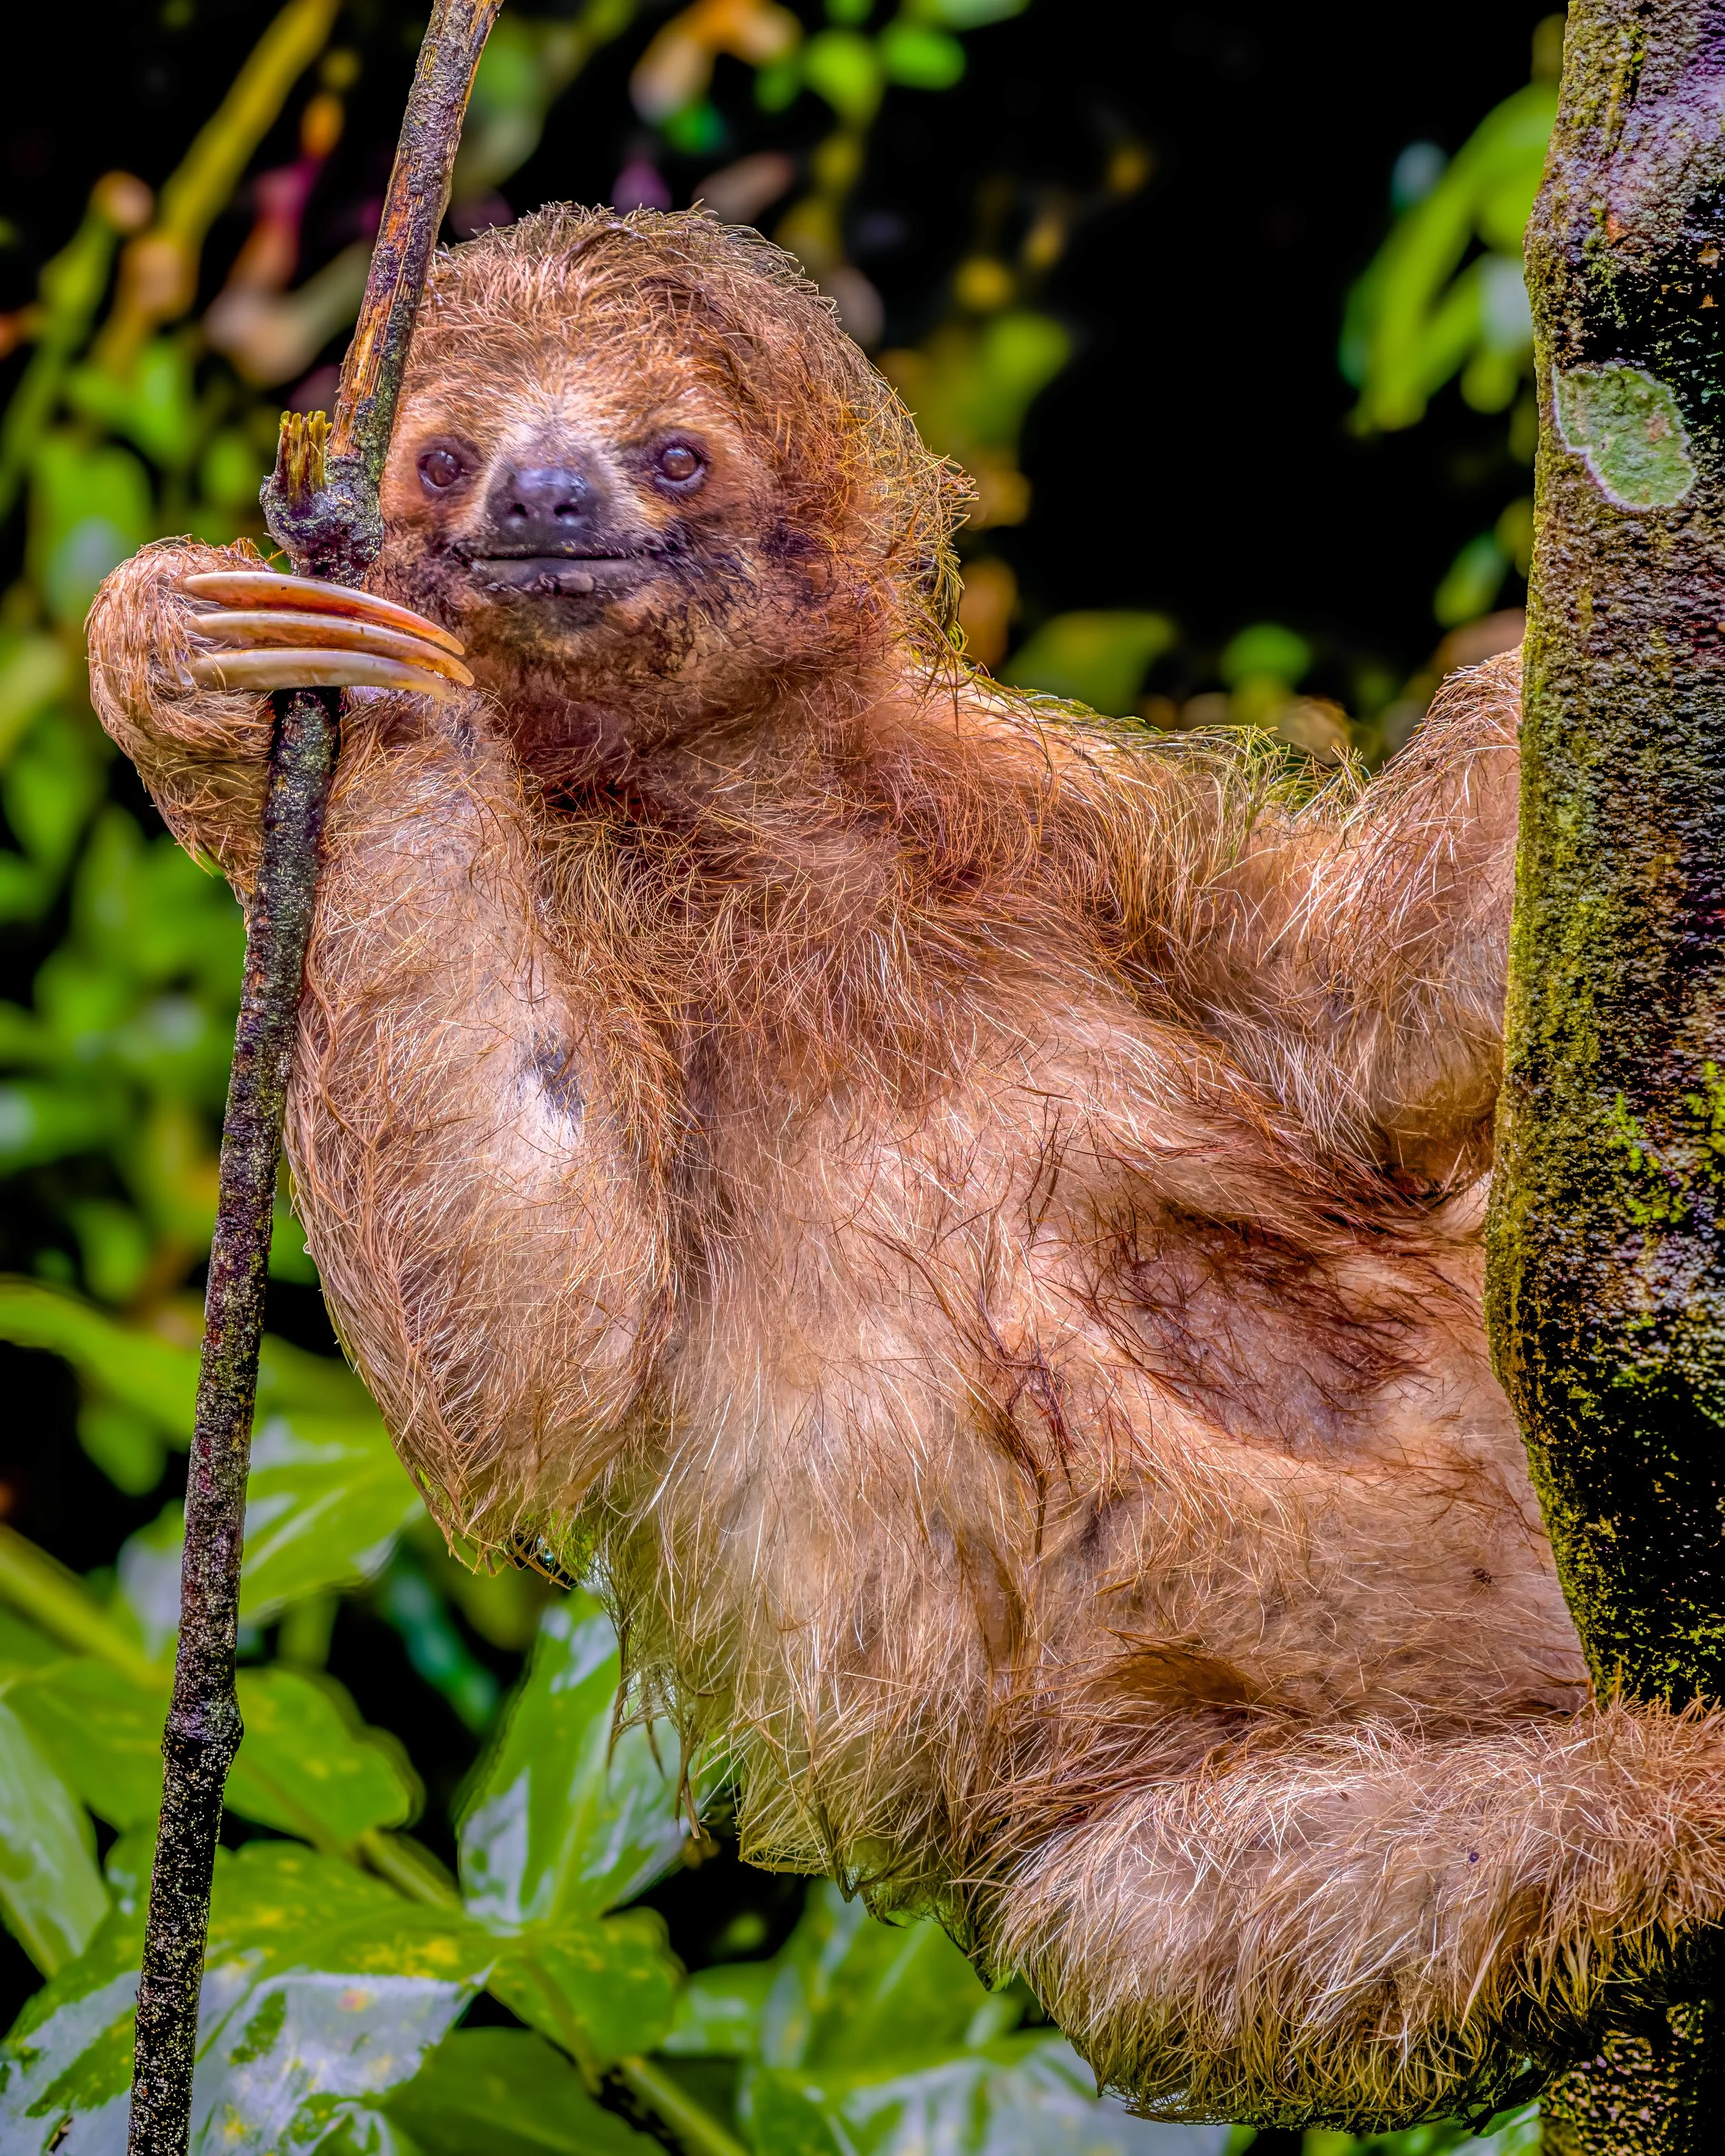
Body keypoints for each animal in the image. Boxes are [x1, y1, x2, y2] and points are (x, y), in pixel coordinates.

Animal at [86, 205, 1725, 2131]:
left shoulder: (1046, 811)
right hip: (1136, 1834)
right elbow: (535, 1333)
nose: (548, 495)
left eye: (670, 452)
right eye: (445, 457)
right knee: (1240, 1901)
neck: (742, 830)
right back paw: (1687, 1796)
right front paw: (219, 664)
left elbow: (1367, 1031)